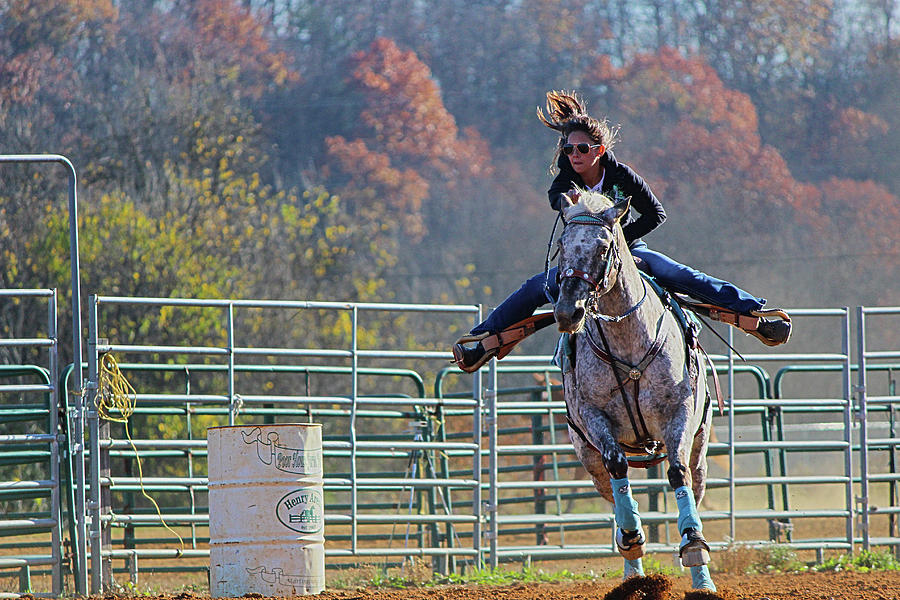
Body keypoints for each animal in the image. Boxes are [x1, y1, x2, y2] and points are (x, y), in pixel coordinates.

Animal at [556, 191, 716, 592]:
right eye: (562, 246)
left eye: (603, 248)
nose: (568, 312)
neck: (628, 343)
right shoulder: (594, 419)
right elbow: (618, 469)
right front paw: (631, 538)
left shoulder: (679, 414)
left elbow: (677, 474)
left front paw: (695, 552)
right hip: (587, 457)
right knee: (612, 488)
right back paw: (632, 574)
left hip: (700, 445)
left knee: (694, 480)